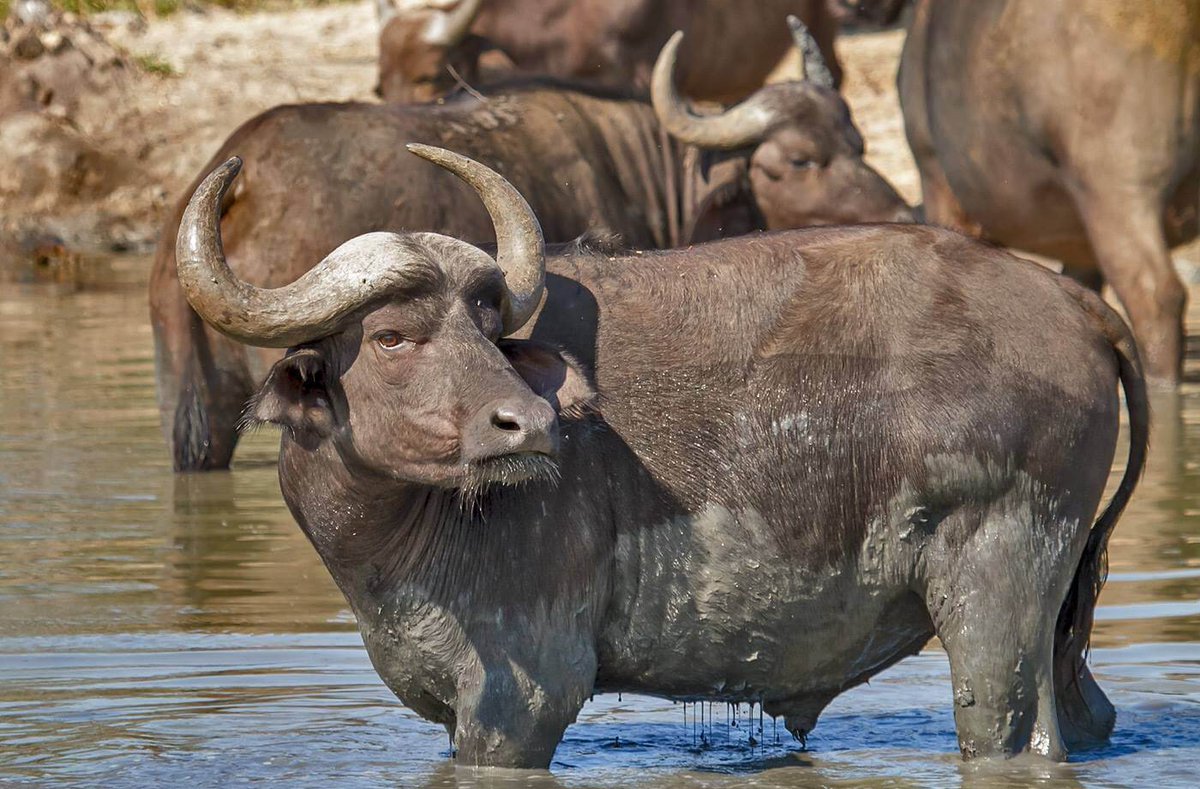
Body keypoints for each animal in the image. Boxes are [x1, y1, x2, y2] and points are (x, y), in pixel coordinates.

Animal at [174, 146, 1146, 767]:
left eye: (486, 326)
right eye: (391, 336)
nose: (530, 423)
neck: (398, 536)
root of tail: (1071, 299)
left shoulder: (522, 702)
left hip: (996, 591)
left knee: (1010, 731)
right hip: (1055, 616)